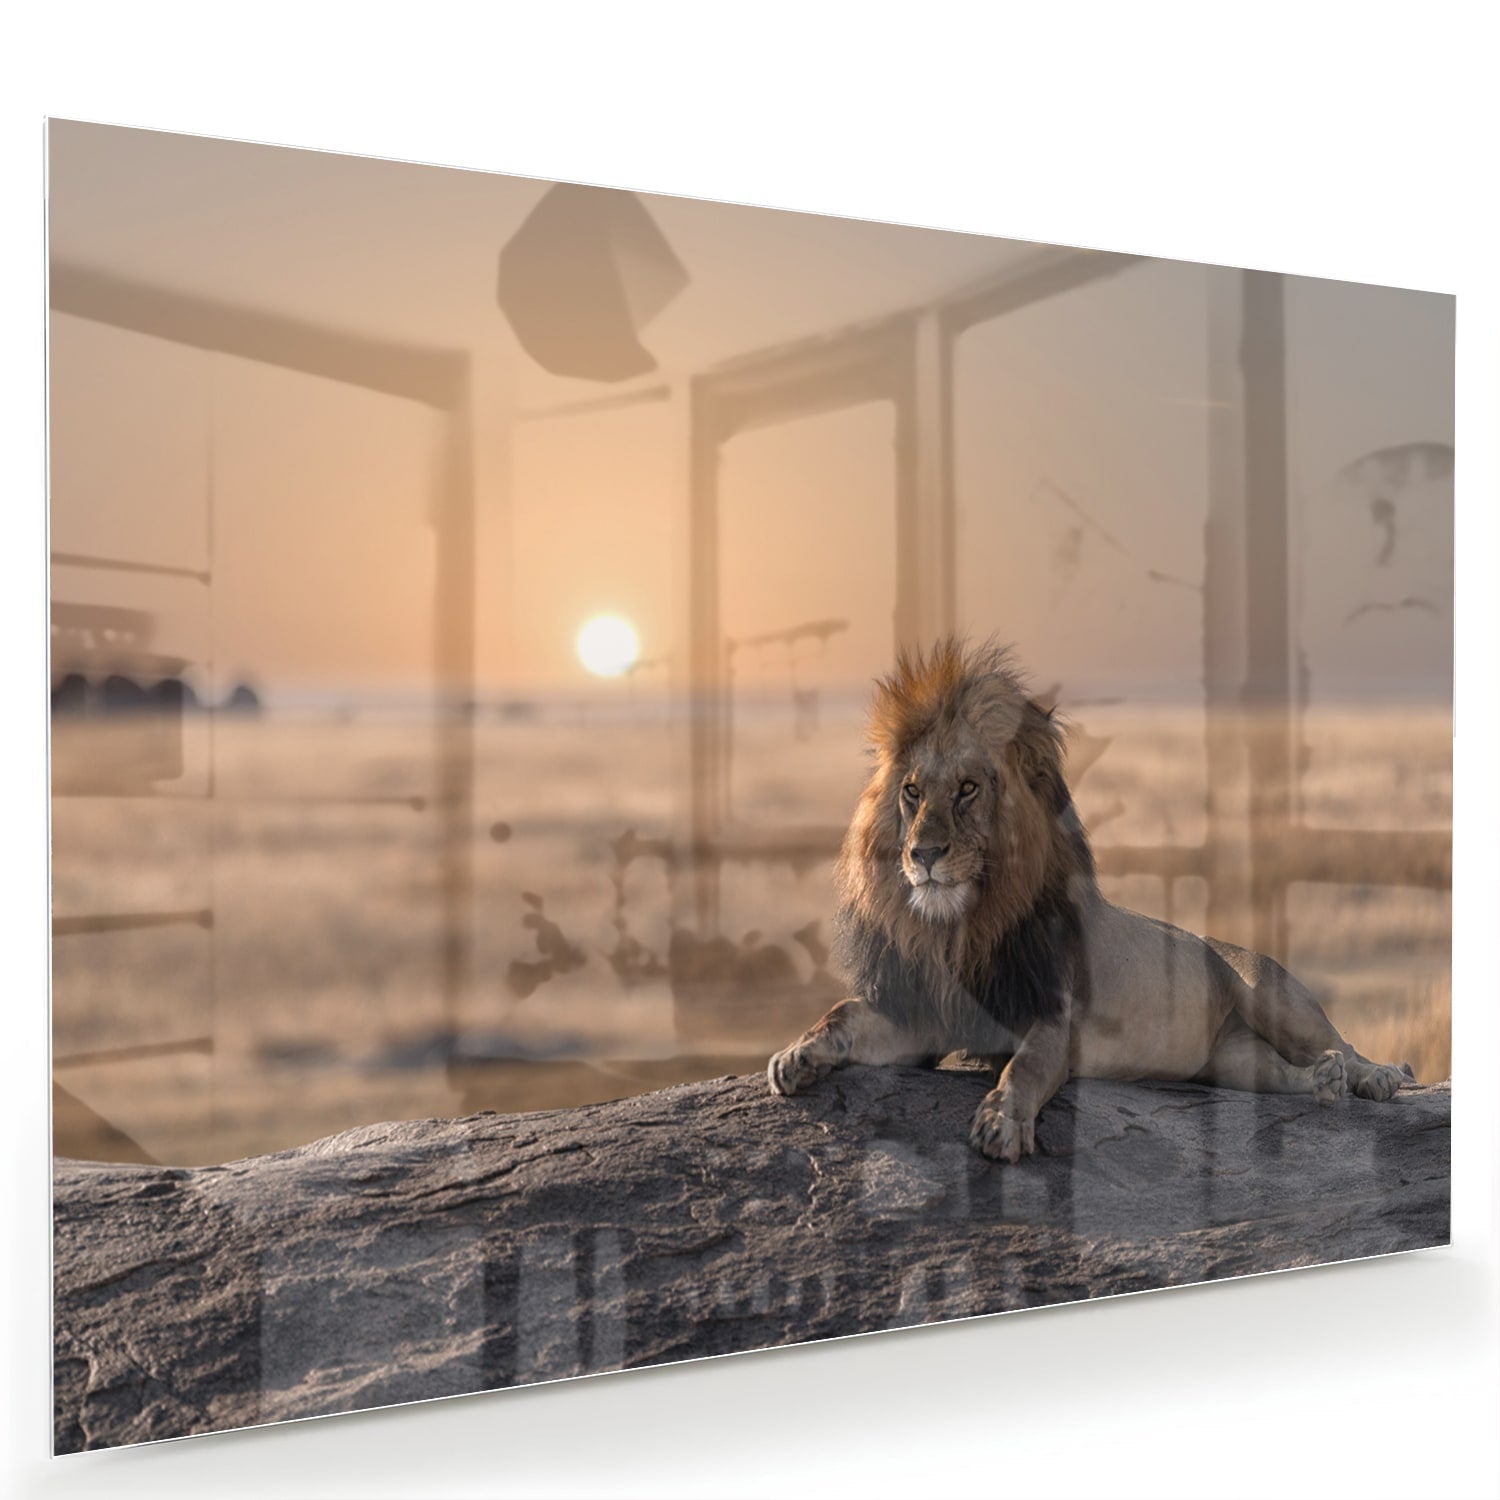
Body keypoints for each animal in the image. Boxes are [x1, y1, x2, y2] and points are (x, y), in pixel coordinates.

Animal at [767, 638, 1410, 1163]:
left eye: (968, 789)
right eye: (912, 792)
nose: (923, 853)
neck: (961, 926)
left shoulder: (1051, 1017)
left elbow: (1022, 1070)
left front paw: (1002, 1123)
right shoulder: (925, 1016)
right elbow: (842, 1013)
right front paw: (796, 1054)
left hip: (1273, 996)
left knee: (1341, 1043)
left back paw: (1375, 1077)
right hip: (1231, 1059)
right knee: (1282, 1072)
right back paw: (1321, 1084)